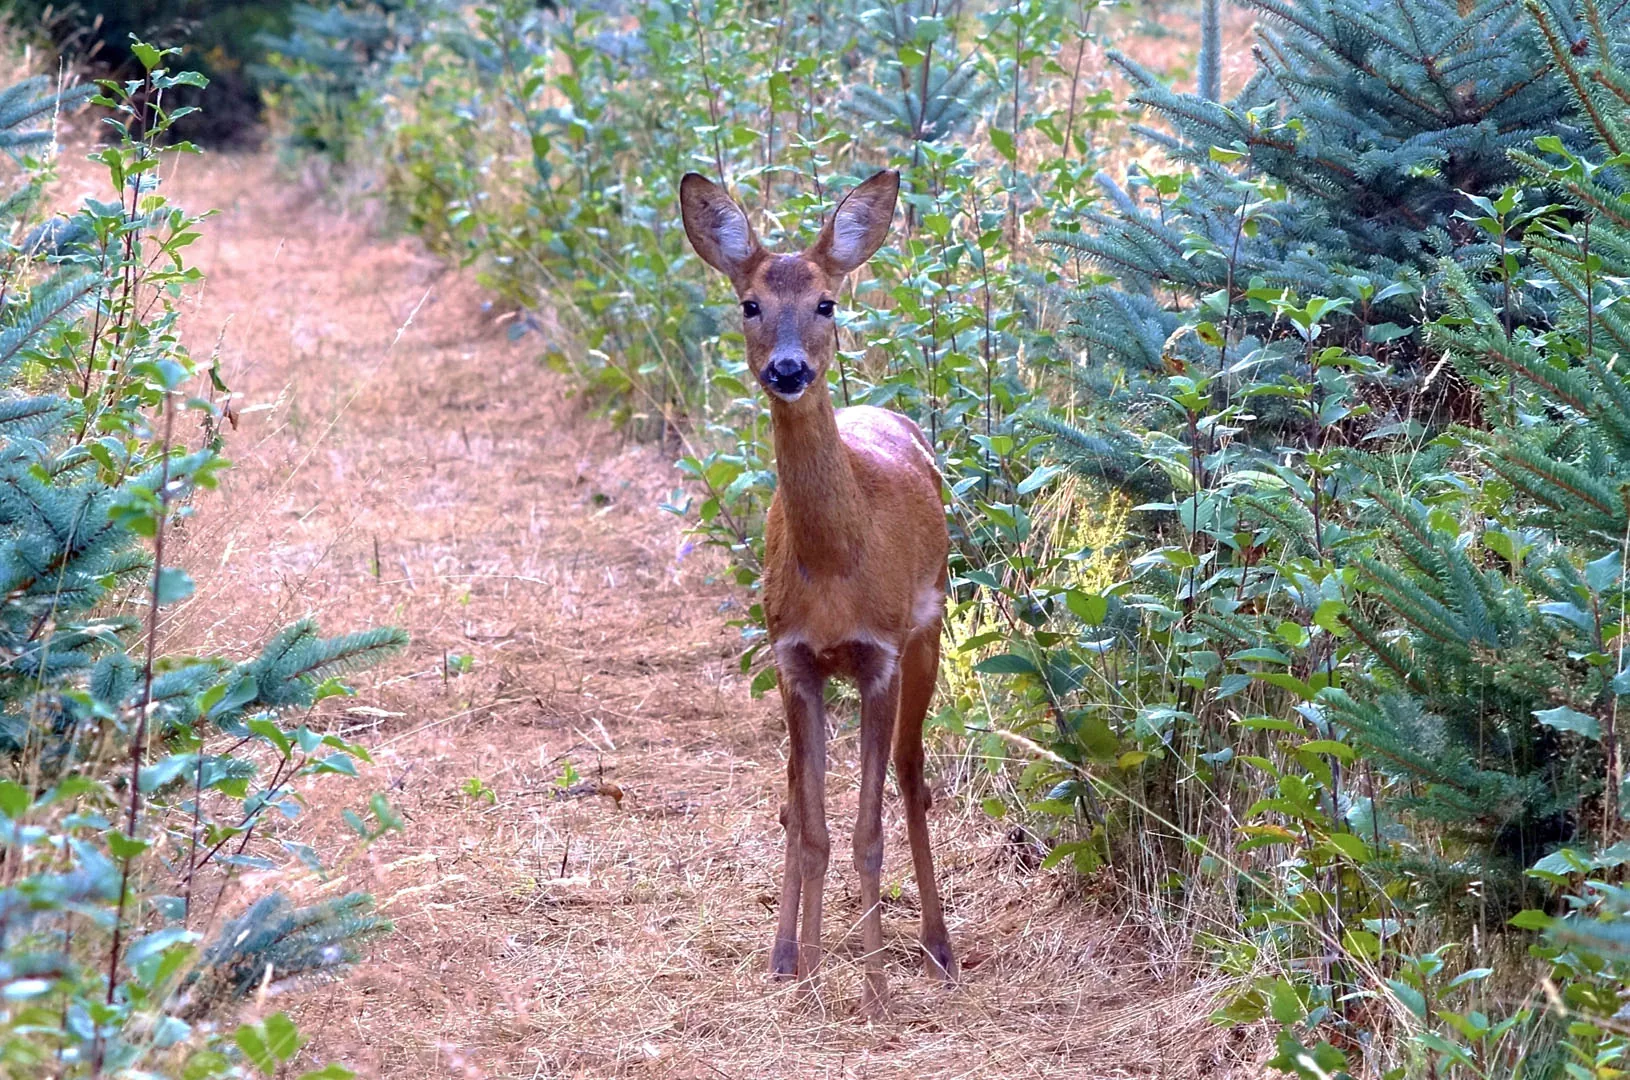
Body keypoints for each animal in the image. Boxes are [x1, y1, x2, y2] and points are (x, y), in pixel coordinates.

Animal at [680, 168, 955, 1017]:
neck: (835, 568)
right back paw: (787, 953)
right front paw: (802, 971)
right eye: (749, 303)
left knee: (912, 776)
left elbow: (866, 830)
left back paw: (938, 946)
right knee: (791, 796)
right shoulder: (792, 656)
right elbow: (811, 825)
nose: (789, 368)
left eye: (827, 302)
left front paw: (873, 988)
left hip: (930, 632)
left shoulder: (880, 654)